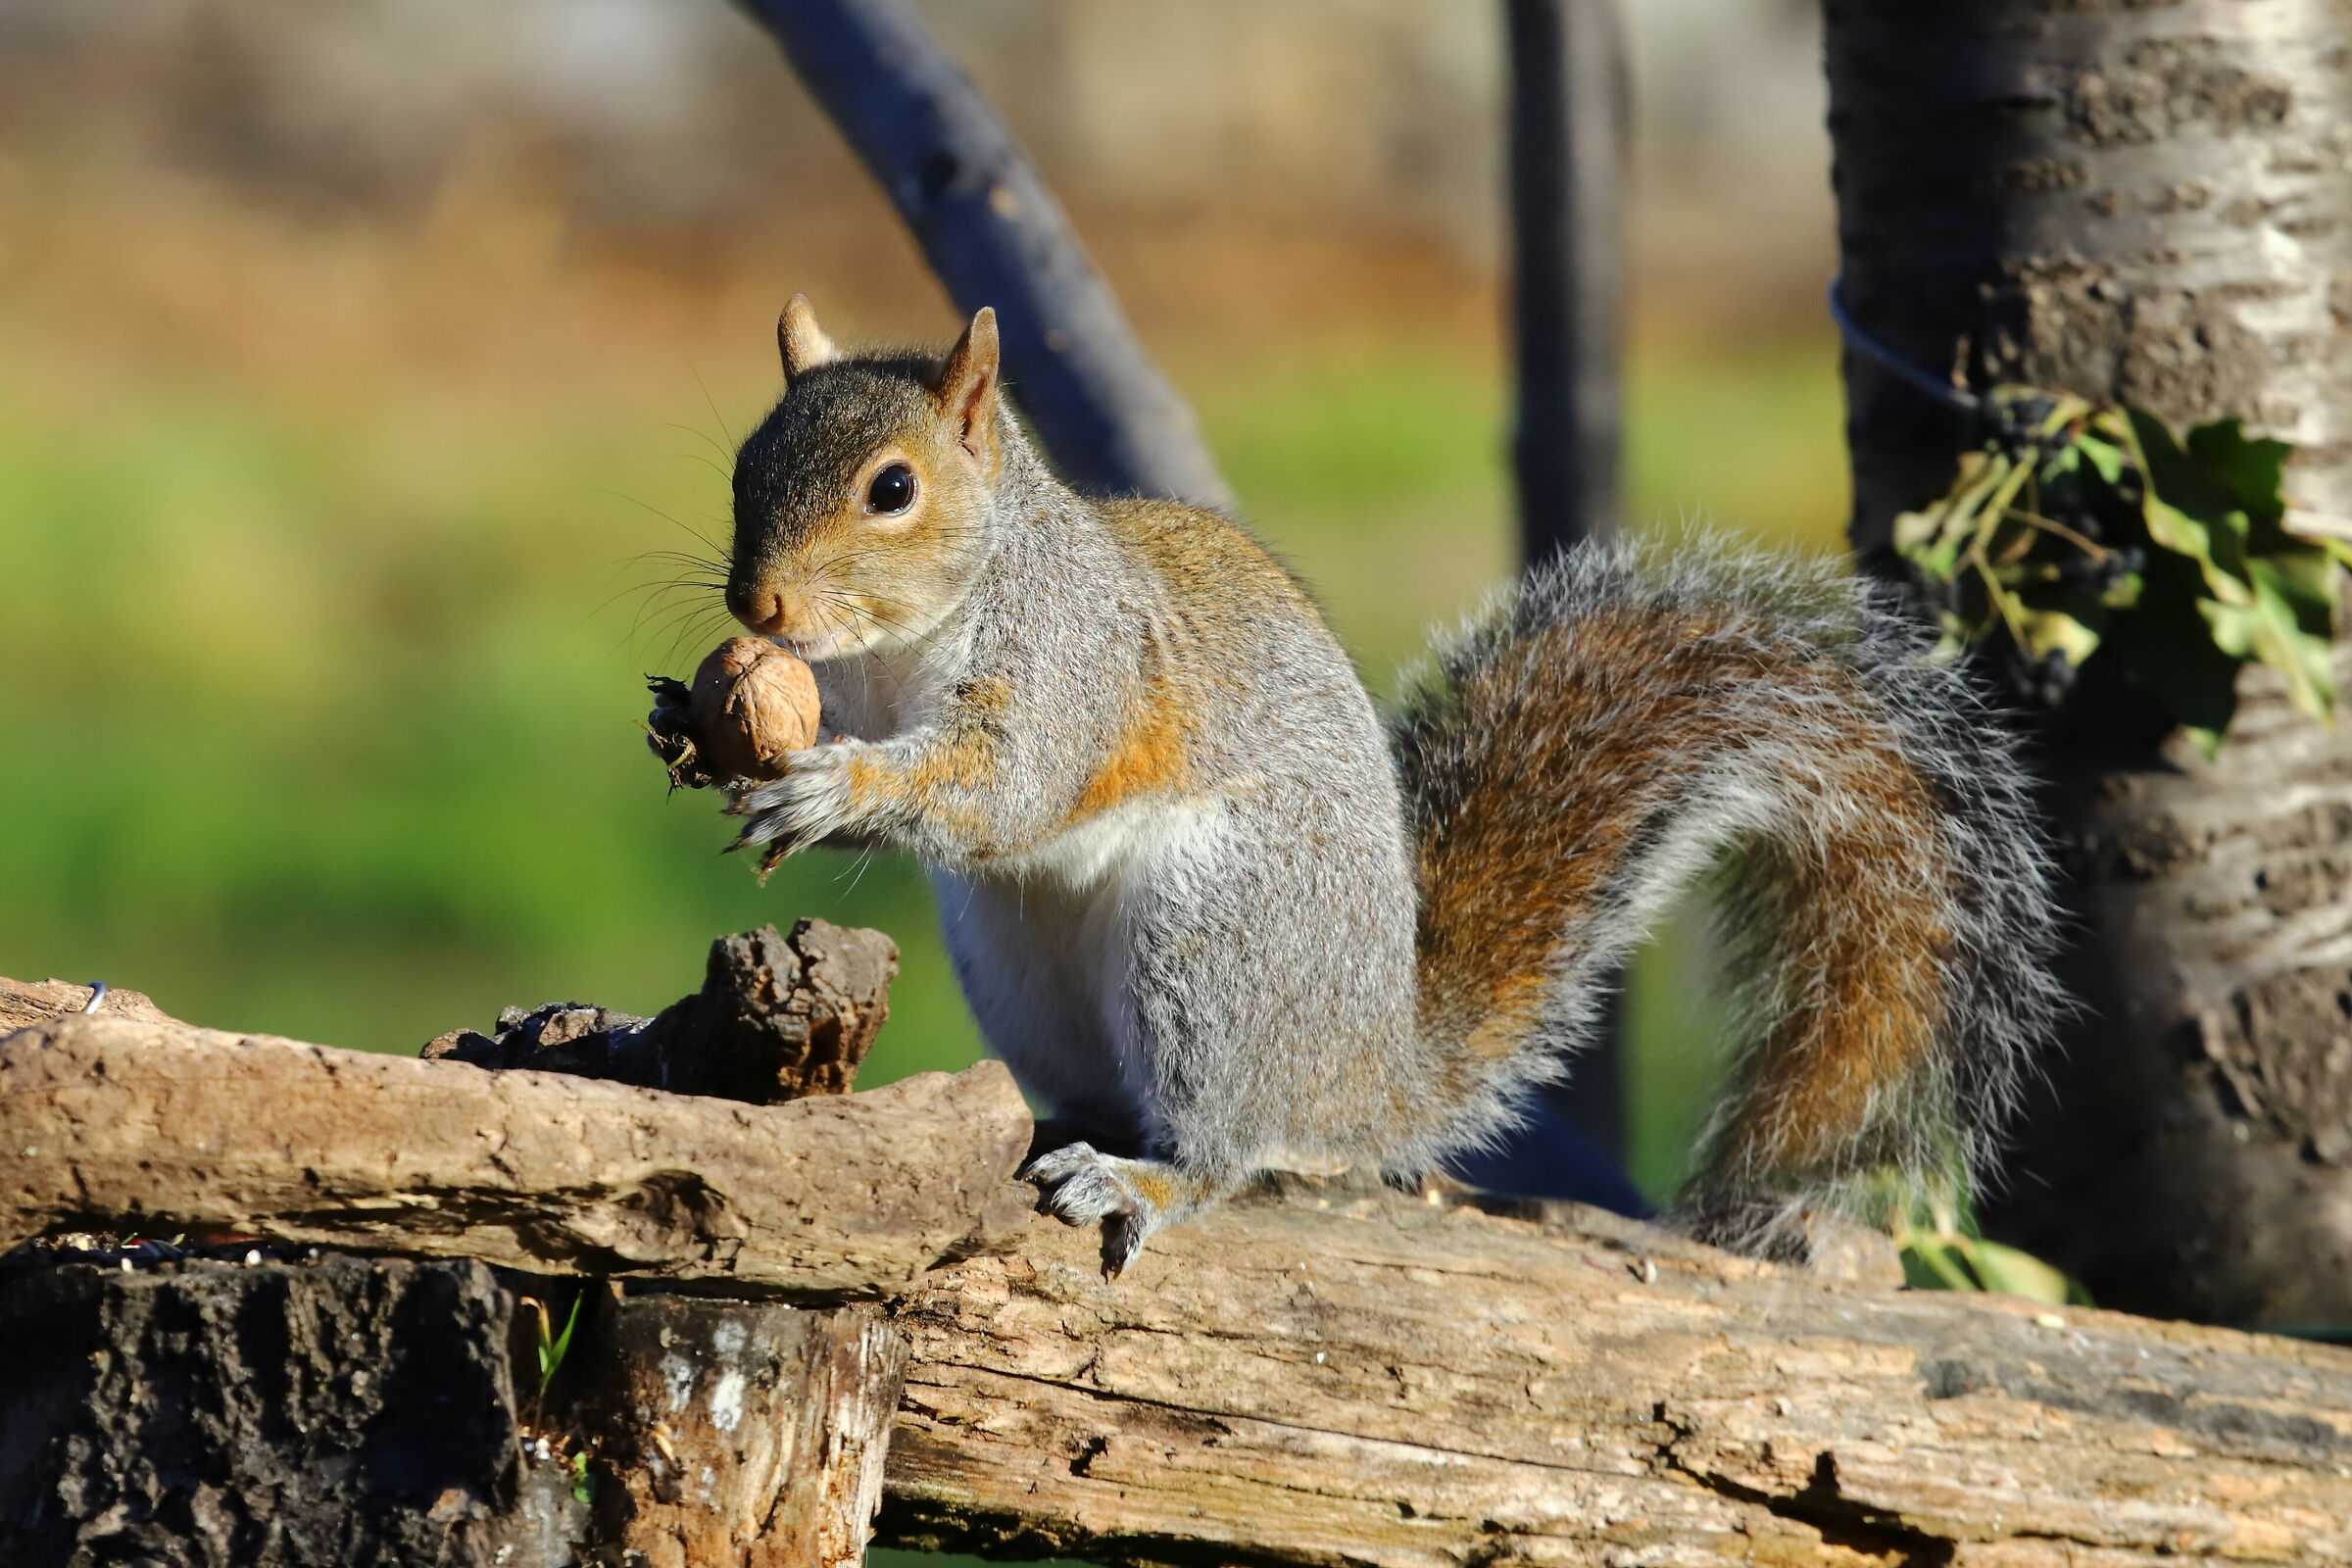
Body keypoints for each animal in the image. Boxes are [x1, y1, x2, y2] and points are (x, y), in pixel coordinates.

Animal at [671, 294, 2064, 1275]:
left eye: (893, 488)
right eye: (740, 463)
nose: (759, 605)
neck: (898, 649)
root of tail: (1368, 1068)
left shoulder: (1075, 668)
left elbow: (1008, 789)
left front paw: (835, 787)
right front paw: (689, 722)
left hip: (1214, 944)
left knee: (1231, 1149)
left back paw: (1146, 1178)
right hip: (1016, 962)